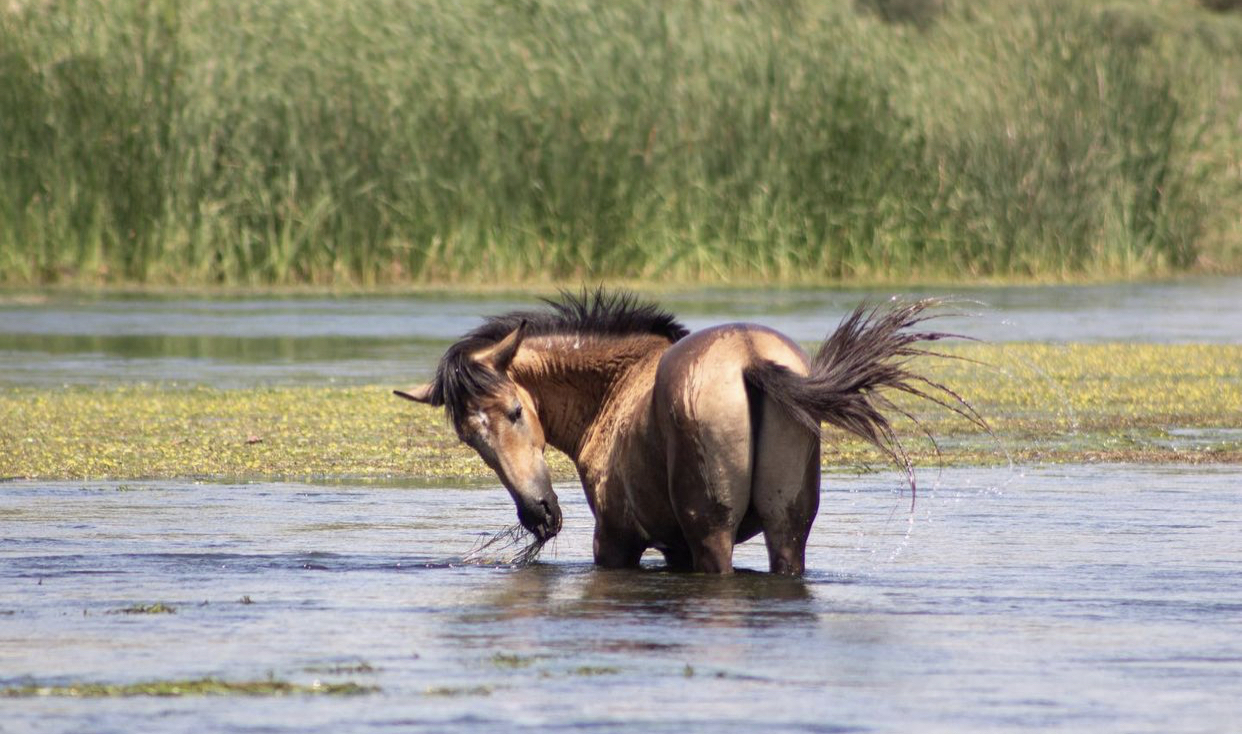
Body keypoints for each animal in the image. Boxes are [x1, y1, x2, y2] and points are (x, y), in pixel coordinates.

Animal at [395, 289, 980, 575]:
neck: (612, 390)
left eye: (516, 410)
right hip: (788, 524)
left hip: (711, 532)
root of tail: (750, 359)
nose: (540, 515)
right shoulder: (672, 545)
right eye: (471, 440)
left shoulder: (618, 538)